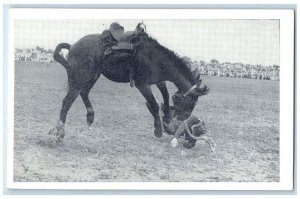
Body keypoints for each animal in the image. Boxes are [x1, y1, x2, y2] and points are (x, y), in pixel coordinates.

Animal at [49, 22, 209, 146]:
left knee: (84, 93)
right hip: (80, 78)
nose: (184, 119)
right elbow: (154, 104)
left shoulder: (158, 80)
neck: (155, 58)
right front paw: (158, 129)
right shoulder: (142, 84)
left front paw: (167, 118)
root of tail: (72, 46)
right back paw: (60, 132)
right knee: (67, 101)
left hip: (92, 76)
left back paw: (90, 116)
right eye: (191, 101)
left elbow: (165, 95)